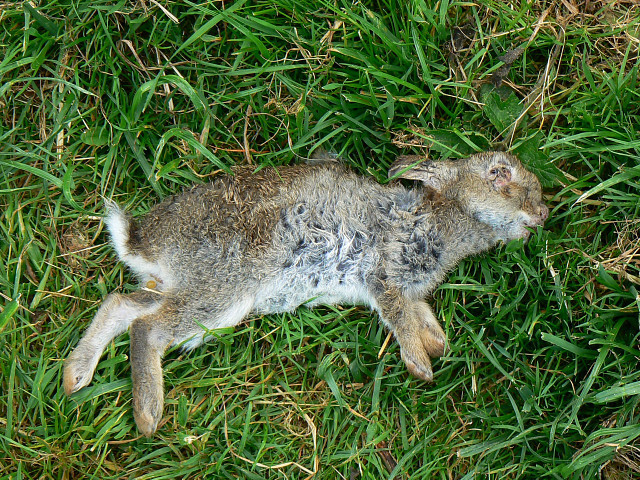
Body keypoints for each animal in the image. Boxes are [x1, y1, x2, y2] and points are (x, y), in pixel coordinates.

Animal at [63, 151, 548, 436]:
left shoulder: (409, 292)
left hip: (191, 294)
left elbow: (418, 315)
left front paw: (437, 344)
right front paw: (421, 365)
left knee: (123, 304)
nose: (543, 212)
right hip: (221, 294)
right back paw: (148, 415)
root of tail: (142, 242)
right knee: (148, 329)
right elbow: (398, 315)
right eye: (498, 174)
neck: (445, 217)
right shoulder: (382, 273)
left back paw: (75, 377)